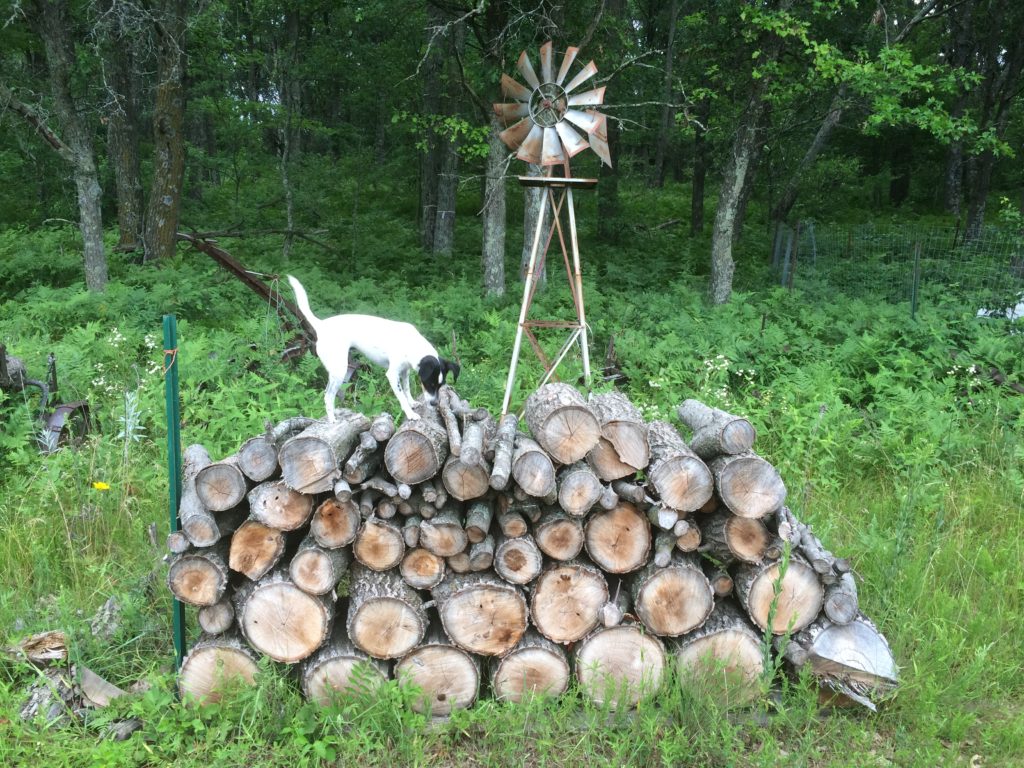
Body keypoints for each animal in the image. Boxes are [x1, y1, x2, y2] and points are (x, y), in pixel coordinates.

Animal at [286, 274, 458, 421]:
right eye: (430, 383)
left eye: (441, 385)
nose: (434, 404)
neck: (411, 344)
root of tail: (321, 325)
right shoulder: (392, 374)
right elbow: (401, 397)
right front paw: (410, 413)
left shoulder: (405, 371)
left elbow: (407, 389)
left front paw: (412, 402)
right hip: (339, 370)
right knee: (328, 396)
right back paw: (332, 420)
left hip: (341, 371)